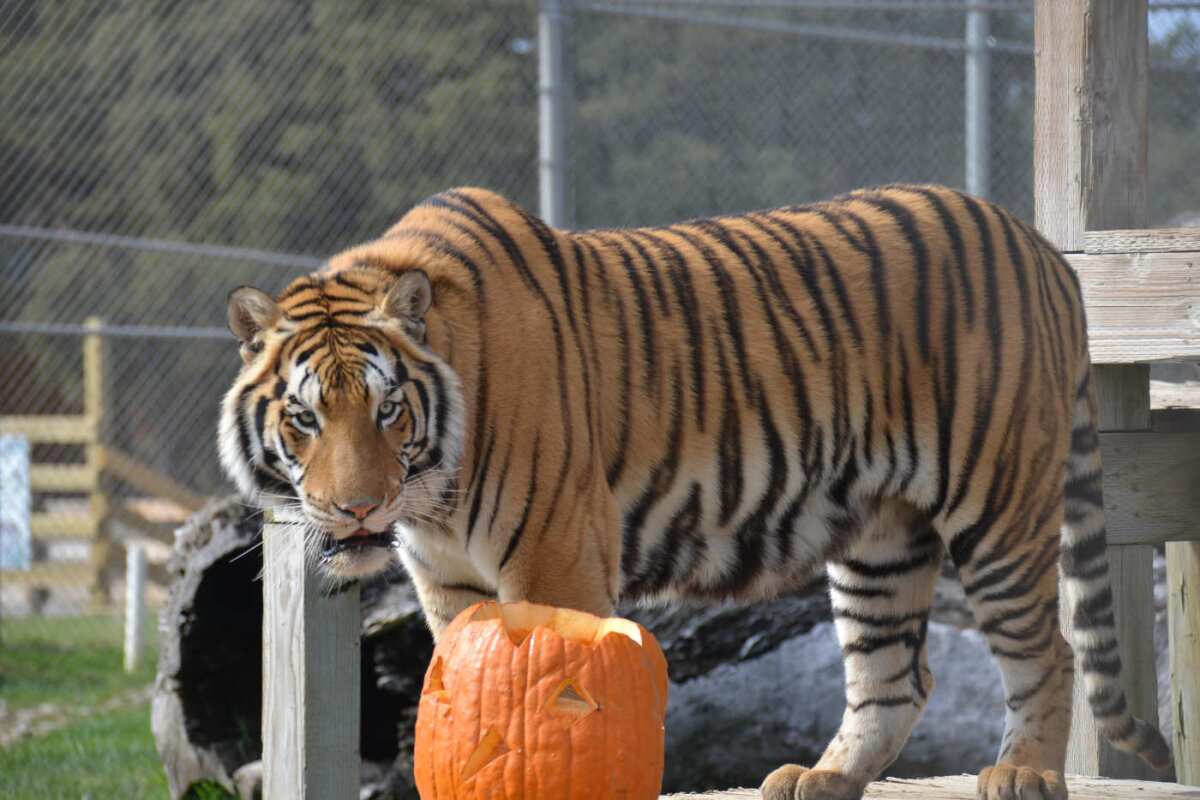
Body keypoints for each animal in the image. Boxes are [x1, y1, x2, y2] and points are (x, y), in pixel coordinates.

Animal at [220, 185, 1166, 800]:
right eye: (305, 419)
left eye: (387, 411)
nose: (356, 509)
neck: (435, 491)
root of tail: (1041, 246)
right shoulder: (448, 580)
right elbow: (466, 688)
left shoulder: (555, 557)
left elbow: (553, 695)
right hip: (880, 541)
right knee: (895, 676)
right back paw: (820, 779)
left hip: (997, 502)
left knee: (1049, 648)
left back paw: (1025, 772)